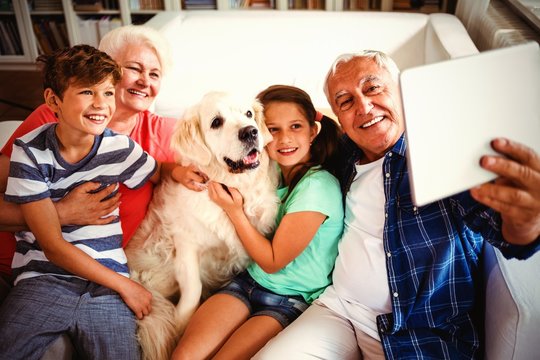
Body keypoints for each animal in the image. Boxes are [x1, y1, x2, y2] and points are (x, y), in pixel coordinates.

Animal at [125, 91, 280, 358]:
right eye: (216, 122)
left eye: (248, 114)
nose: (250, 132)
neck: (234, 189)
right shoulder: (186, 245)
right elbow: (194, 288)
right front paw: (180, 324)